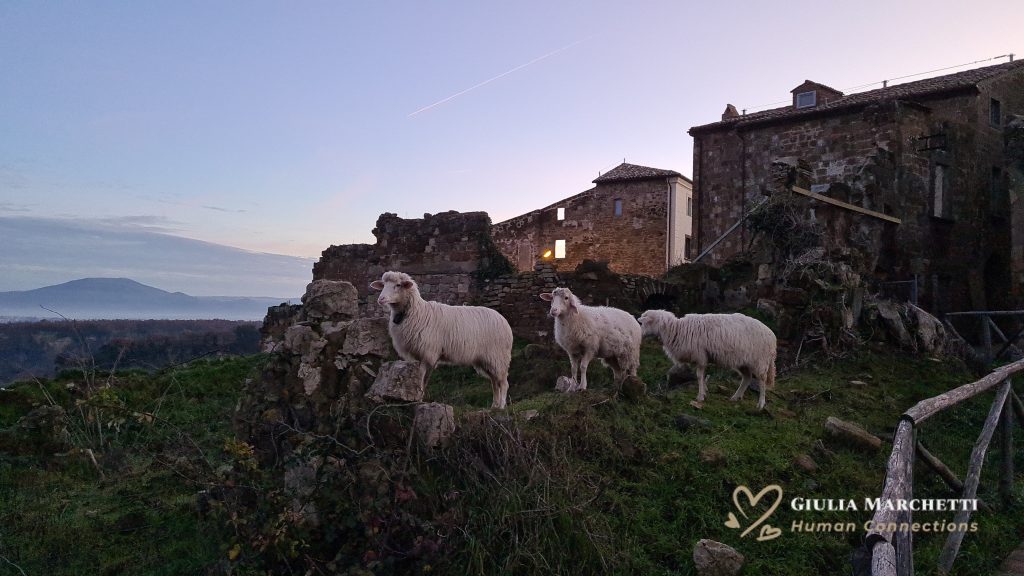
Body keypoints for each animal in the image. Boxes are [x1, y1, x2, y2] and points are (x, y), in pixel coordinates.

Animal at [370, 270, 516, 407]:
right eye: (383, 285)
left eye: (398, 285)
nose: (381, 299)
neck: (417, 312)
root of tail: (503, 319)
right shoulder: (419, 355)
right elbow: (422, 378)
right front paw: (419, 396)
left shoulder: (428, 353)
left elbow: (422, 377)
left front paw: (418, 398)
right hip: (487, 360)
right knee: (494, 382)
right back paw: (494, 406)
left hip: (498, 357)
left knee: (503, 383)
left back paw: (501, 406)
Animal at [638, 309, 774, 407]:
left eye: (643, 323)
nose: (638, 334)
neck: (676, 329)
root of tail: (772, 335)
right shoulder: (702, 357)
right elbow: (702, 376)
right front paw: (704, 392)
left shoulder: (700, 356)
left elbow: (699, 376)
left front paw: (700, 396)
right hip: (743, 362)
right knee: (747, 378)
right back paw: (735, 397)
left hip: (760, 361)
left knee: (762, 381)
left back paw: (761, 403)